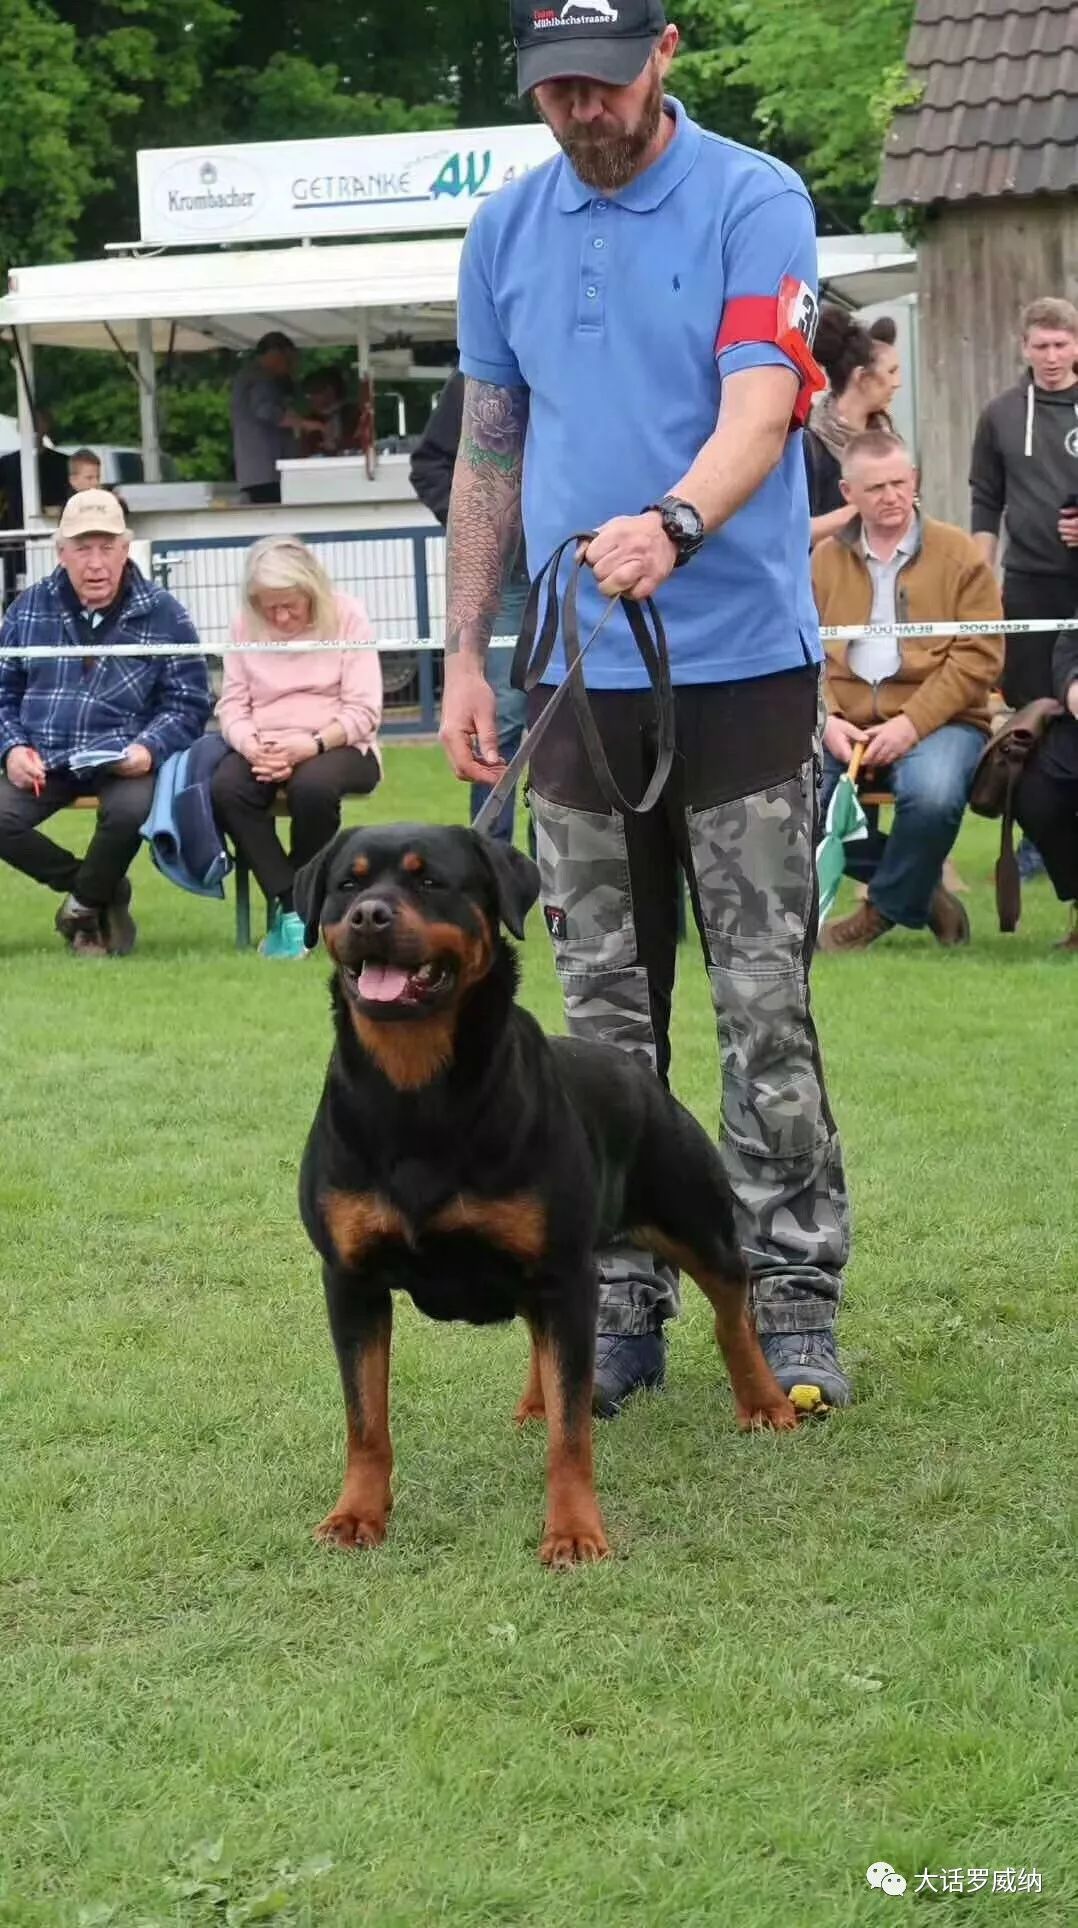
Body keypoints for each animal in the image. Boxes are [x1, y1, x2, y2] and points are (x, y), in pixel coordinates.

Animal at [296, 817, 802, 1565]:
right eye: (346, 885)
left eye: (429, 880)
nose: (368, 915)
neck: (416, 1091)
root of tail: (638, 1070)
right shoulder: (351, 1279)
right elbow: (366, 1420)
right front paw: (357, 1514)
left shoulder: (565, 1274)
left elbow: (573, 1435)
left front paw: (573, 1529)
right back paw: (536, 1403)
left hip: (691, 1219)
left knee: (732, 1305)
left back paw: (763, 1401)